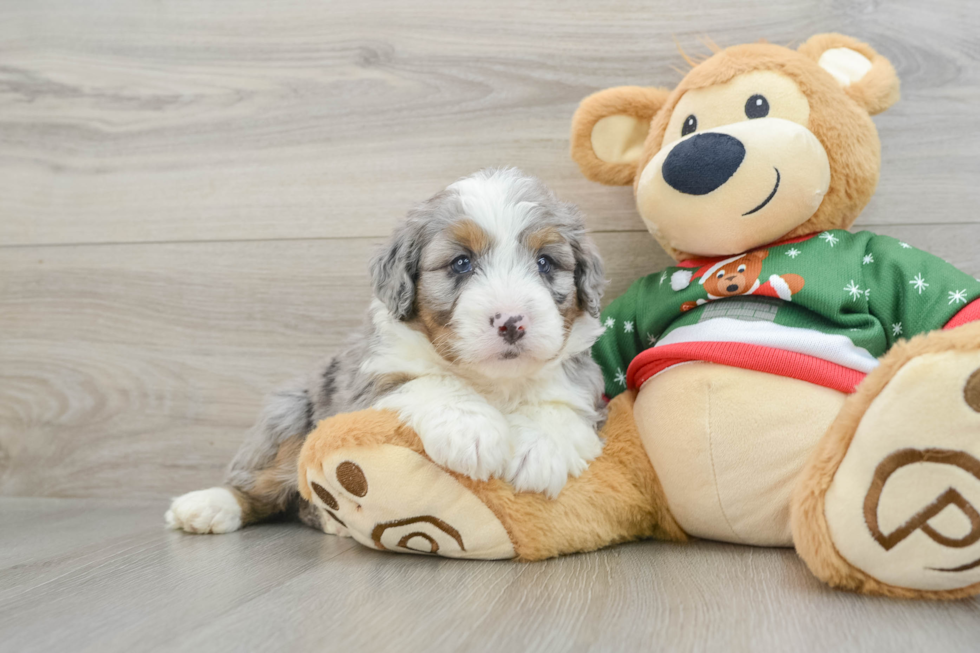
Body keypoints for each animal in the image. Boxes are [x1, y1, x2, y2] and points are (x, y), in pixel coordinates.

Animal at [166, 169, 608, 536]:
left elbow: (559, 403)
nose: (512, 322)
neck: (489, 381)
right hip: (288, 415)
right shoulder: (370, 381)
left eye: (545, 262)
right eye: (461, 263)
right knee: (255, 485)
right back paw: (206, 506)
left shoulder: (583, 381)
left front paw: (539, 449)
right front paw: (472, 431)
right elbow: (430, 382)